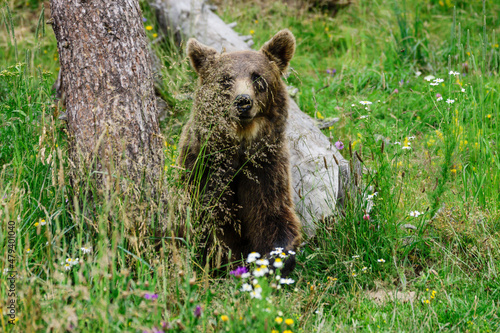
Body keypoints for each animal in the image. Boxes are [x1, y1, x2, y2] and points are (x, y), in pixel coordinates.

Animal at [177, 29, 300, 274]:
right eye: (226, 79)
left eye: (257, 77)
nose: (243, 101)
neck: (240, 144)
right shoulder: (204, 166)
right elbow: (208, 219)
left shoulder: (266, 167)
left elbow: (273, 215)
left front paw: (274, 260)